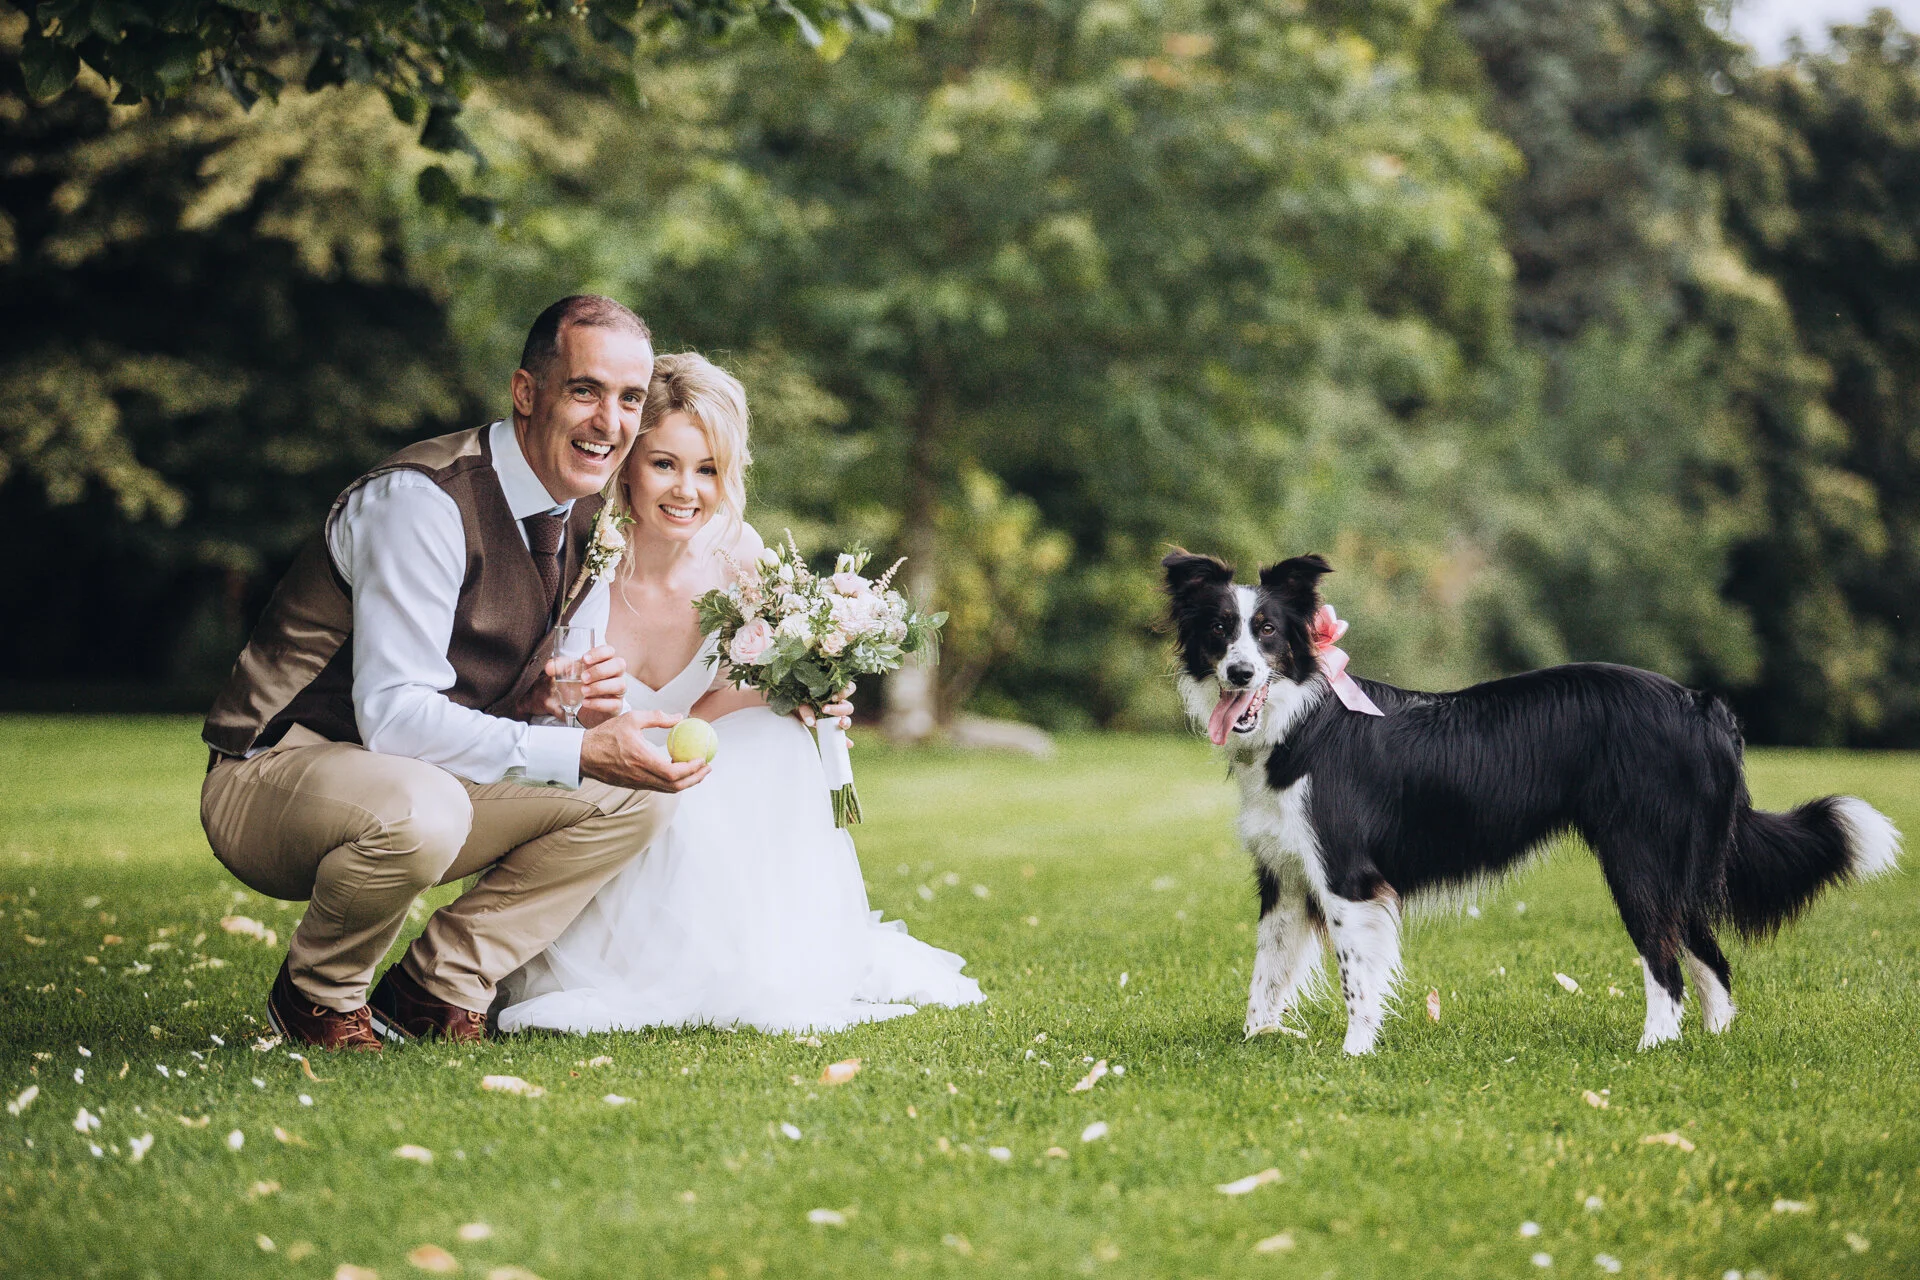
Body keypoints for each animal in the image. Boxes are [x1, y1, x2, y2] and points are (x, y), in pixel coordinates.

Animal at [1162, 549, 1902, 1054]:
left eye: (1267, 631)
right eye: (1220, 630)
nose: (1239, 673)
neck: (1298, 721)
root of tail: (1702, 705)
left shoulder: (1348, 879)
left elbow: (1356, 980)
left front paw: (1353, 1055)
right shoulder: (1286, 877)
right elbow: (1267, 971)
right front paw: (1257, 1043)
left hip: (1636, 859)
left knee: (1665, 966)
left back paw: (1653, 1049)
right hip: (1673, 865)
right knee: (1708, 957)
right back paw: (1712, 1044)